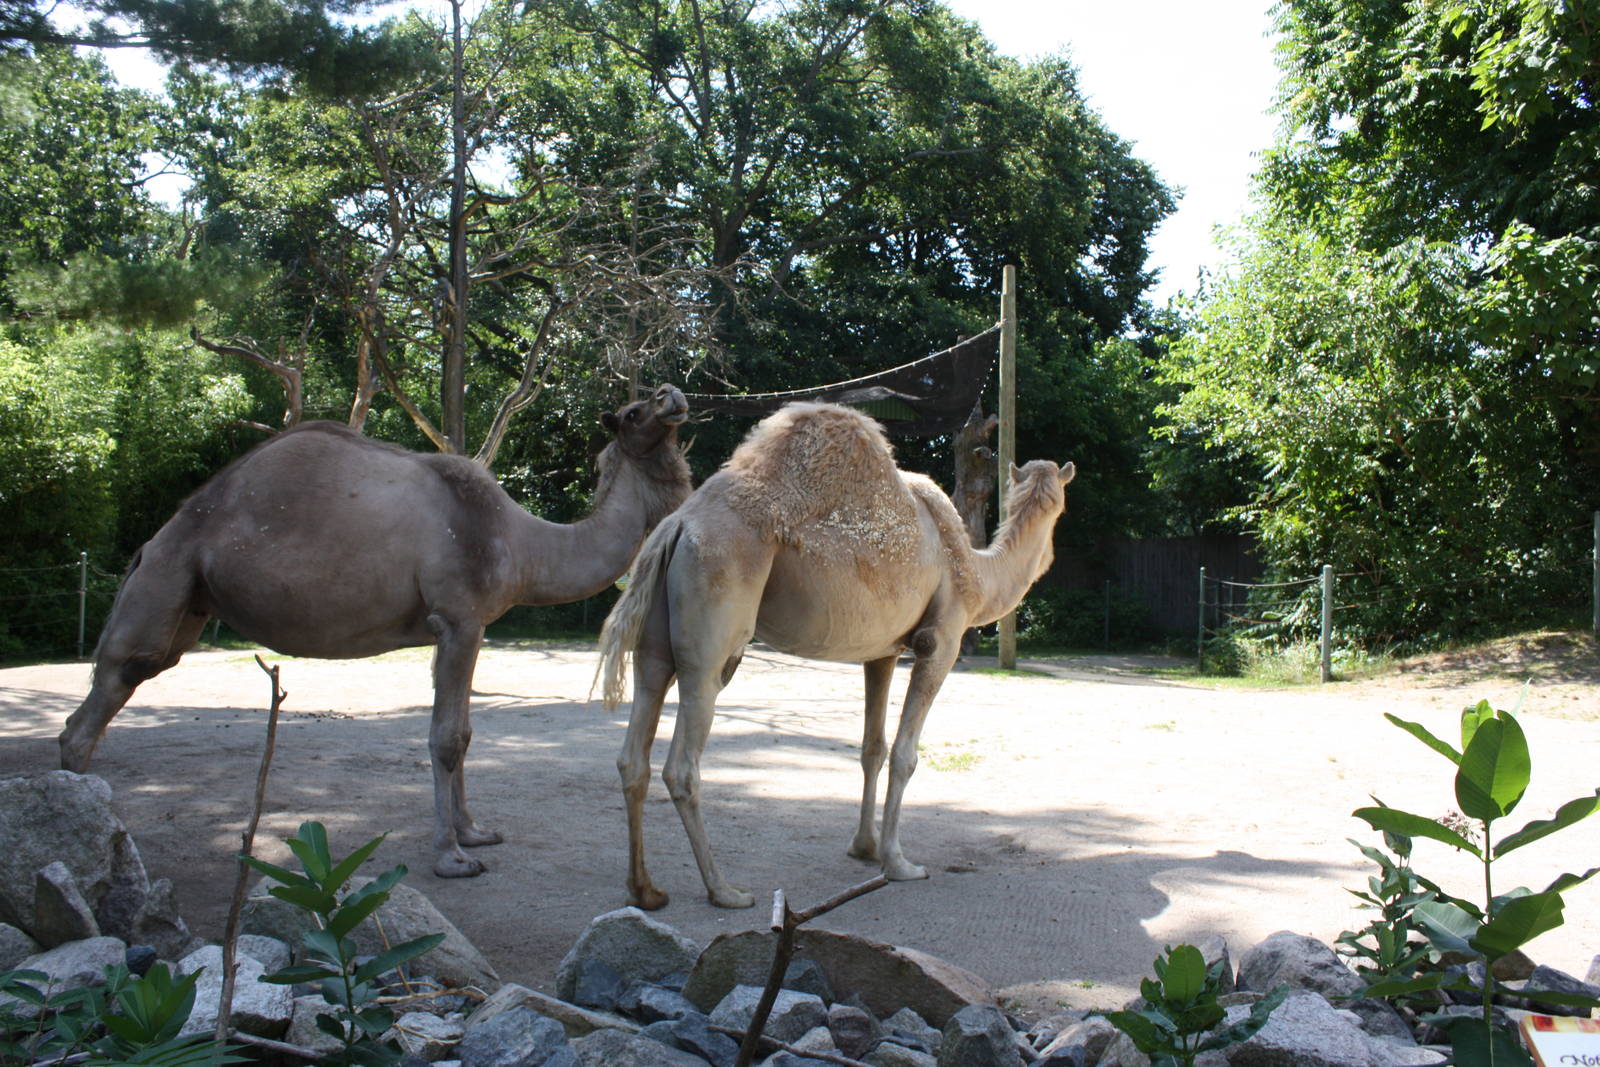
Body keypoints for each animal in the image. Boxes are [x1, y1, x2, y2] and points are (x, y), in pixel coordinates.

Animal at [62, 384, 692, 878]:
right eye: (634, 411)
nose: (674, 396)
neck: (520, 542)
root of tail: (153, 541)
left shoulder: (469, 628)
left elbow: (465, 734)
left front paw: (476, 832)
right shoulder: (457, 618)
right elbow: (444, 738)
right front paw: (451, 857)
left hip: (190, 599)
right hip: (168, 576)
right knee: (110, 687)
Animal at [597, 401, 1074, 909]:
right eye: (1063, 501)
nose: (1053, 552)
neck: (974, 572)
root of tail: (677, 525)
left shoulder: (883, 653)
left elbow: (872, 748)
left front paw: (865, 848)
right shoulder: (940, 642)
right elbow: (905, 754)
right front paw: (898, 863)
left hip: (655, 638)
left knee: (635, 746)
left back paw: (644, 889)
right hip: (713, 625)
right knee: (683, 763)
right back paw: (724, 890)